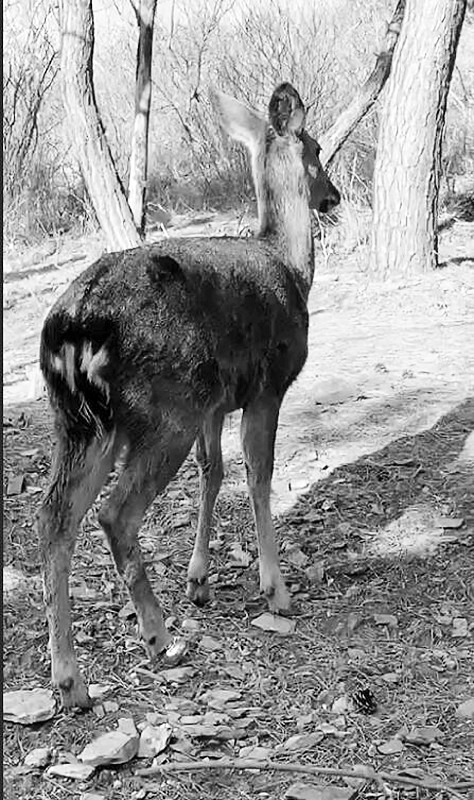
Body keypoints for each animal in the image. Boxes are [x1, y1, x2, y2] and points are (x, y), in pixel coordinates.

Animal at [37, 83, 340, 709]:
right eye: (317, 148)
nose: (334, 196)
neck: (291, 266)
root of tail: (76, 326)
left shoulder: (214, 403)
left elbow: (213, 471)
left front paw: (199, 579)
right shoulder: (267, 386)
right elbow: (257, 474)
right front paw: (276, 590)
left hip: (81, 424)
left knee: (54, 517)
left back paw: (71, 679)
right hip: (162, 411)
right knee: (114, 514)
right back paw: (158, 638)